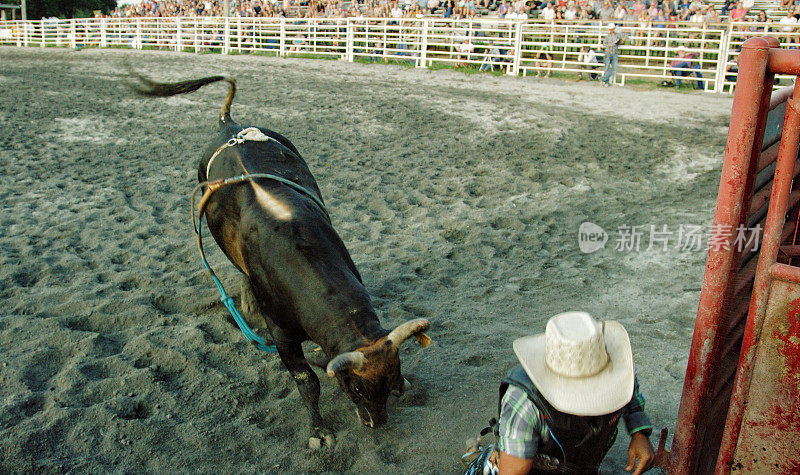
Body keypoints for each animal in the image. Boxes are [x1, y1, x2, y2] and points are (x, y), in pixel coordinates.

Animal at [131, 74, 432, 446]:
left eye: (392, 382)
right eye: (356, 389)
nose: (376, 423)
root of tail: (229, 125)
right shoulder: (282, 335)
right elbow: (307, 381)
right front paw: (319, 430)